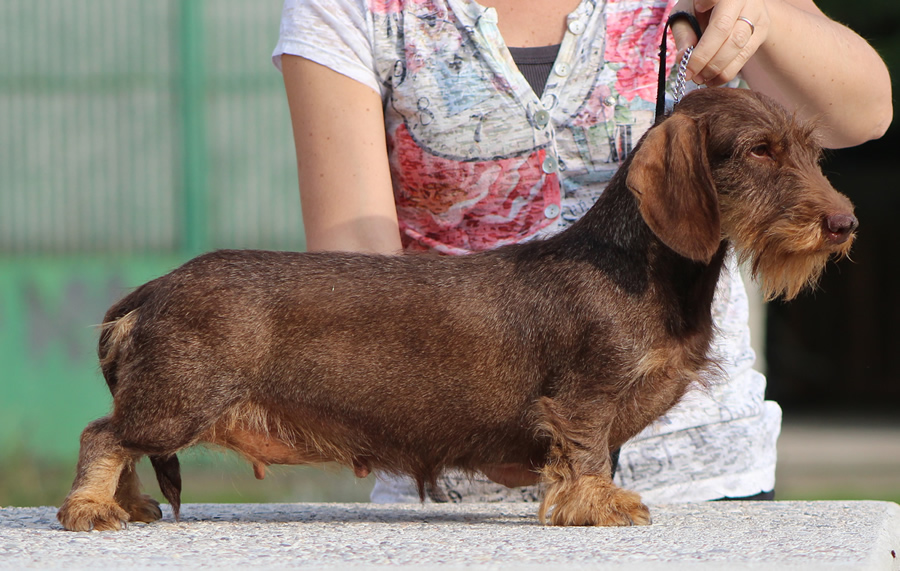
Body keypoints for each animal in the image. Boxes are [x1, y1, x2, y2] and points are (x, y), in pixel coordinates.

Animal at [56, 89, 856, 532]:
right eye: (758, 150)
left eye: (809, 151)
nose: (844, 223)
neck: (637, 264)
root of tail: (149, 289)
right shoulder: (585, 394)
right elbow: (586, 450)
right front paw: (600, 503)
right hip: (178, 398)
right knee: (103, 434)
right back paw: (92, 508)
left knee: (118, 442)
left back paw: (128, 505)